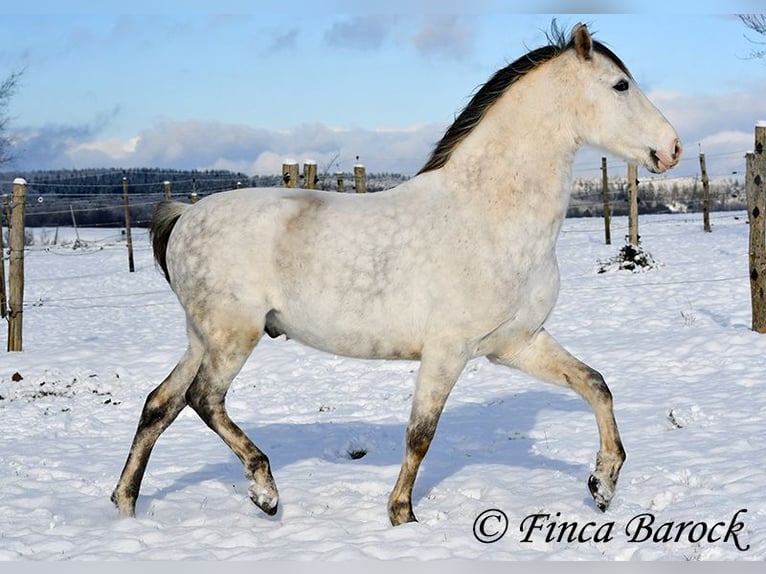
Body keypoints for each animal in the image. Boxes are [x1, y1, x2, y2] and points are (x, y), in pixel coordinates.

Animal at [111, 23, 680, 528]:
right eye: (621, 85)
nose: (671, 148)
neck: (490, 215)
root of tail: (185, 215)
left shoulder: (516, 343)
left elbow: (595, 384)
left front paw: (603, 485)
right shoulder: (447, 351)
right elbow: (421, 434)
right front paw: (403, 515)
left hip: (201, 337)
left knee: (160, 404)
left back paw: (126, 506)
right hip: (233, 336)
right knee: (203, 399)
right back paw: (265, 491)